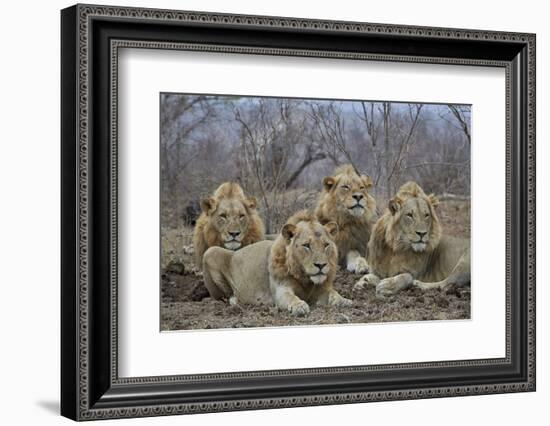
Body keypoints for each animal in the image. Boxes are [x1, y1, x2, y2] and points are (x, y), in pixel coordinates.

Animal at [203, 211, 354, 316]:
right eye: (306, 245)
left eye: (326, 245)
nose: (321, 265)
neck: (305, 279)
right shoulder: (281, 290)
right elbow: (290, 297)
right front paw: (299, 306)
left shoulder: (322, 289)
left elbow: (334, 294)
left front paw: (344, 301)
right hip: (211, 251)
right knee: (223, 297)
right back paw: (235, 301)